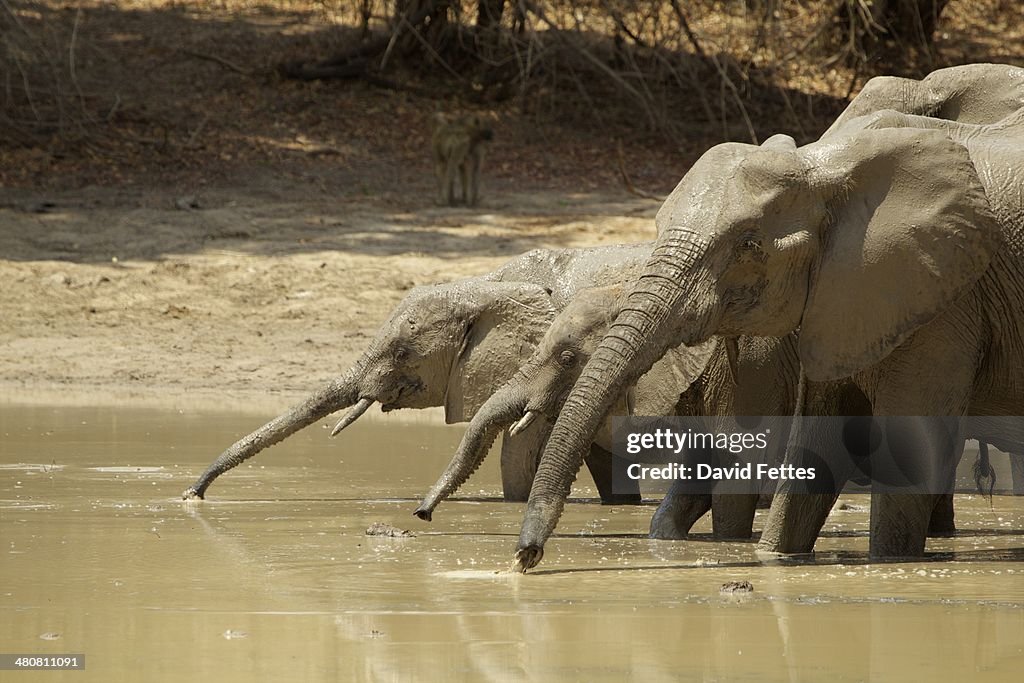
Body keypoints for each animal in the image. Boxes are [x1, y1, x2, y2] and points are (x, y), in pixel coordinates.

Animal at [411, 280, 802, 540]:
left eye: (568, 359)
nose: (421, 514)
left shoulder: (754, 369)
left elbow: (735, 475)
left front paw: (729, 543)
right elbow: (697, 473)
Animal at [512, 104, 1024, 569]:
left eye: (749, 245)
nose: (526, 556)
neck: (825, 166)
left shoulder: (945, 294)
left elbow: (911, 448)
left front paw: (888, 564)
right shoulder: (845, 300)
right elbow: (818, 441)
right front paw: (774, 560)